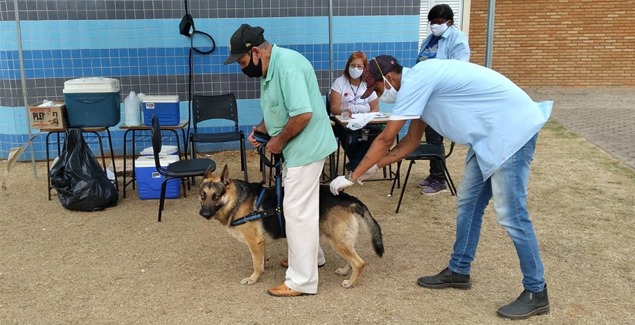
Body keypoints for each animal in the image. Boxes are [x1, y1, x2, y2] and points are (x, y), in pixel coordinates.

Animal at [201, 165, 386, 286]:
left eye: (216, 196)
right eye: (202, 196)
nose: (203, 214)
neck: (236, 199)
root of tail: (348, 198)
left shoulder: (254, 243)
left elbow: (256, 263)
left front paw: (254, 278)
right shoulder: (260, 244)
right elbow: (261, 260)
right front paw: (262, 269)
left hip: (337, 240)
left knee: (359, 262)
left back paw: (351, 282)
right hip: (341, 240)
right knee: (351, 259)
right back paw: (345, 271)